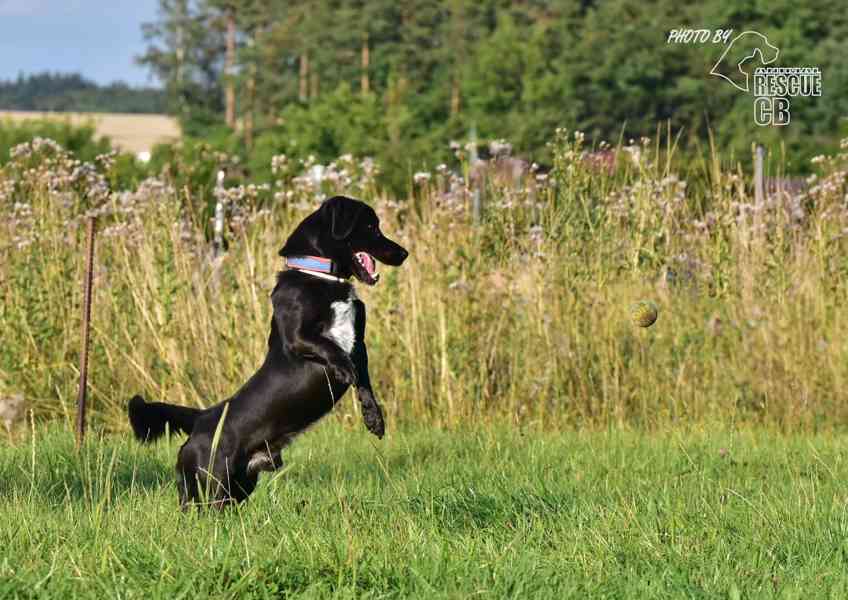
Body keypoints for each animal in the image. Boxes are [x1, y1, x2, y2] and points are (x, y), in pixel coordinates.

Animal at [129, 197, 410, 506]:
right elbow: (334, 351)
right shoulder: (296, 337)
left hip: (239, 484)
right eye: (370, 226)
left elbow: (365, 382)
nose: (404, 253)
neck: (321, 276)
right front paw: (345, 372)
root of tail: (201, 418)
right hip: (211, 483)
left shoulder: (359, 344)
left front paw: (374, 420)